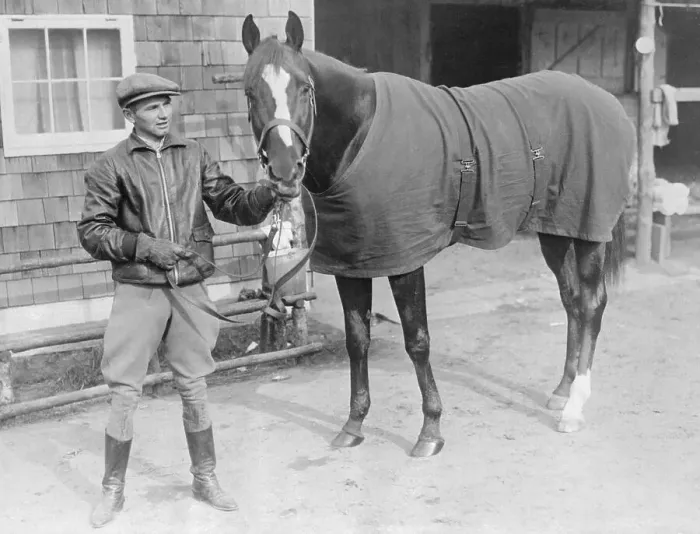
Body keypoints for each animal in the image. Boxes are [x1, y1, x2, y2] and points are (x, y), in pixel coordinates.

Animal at [239, 11, 635, 457]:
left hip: (589, 234)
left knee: (591, 304)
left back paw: (575, 408)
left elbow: (417, 340)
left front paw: (430, 430)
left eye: (304, 88)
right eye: (251, 93)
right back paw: (562, 391)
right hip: (555, 231)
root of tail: (607, 102)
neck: (360, 137)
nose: (284, 171)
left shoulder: (405, 261)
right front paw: (354, 424)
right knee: (571, 301)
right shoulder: (350, 264)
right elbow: (357, 340)